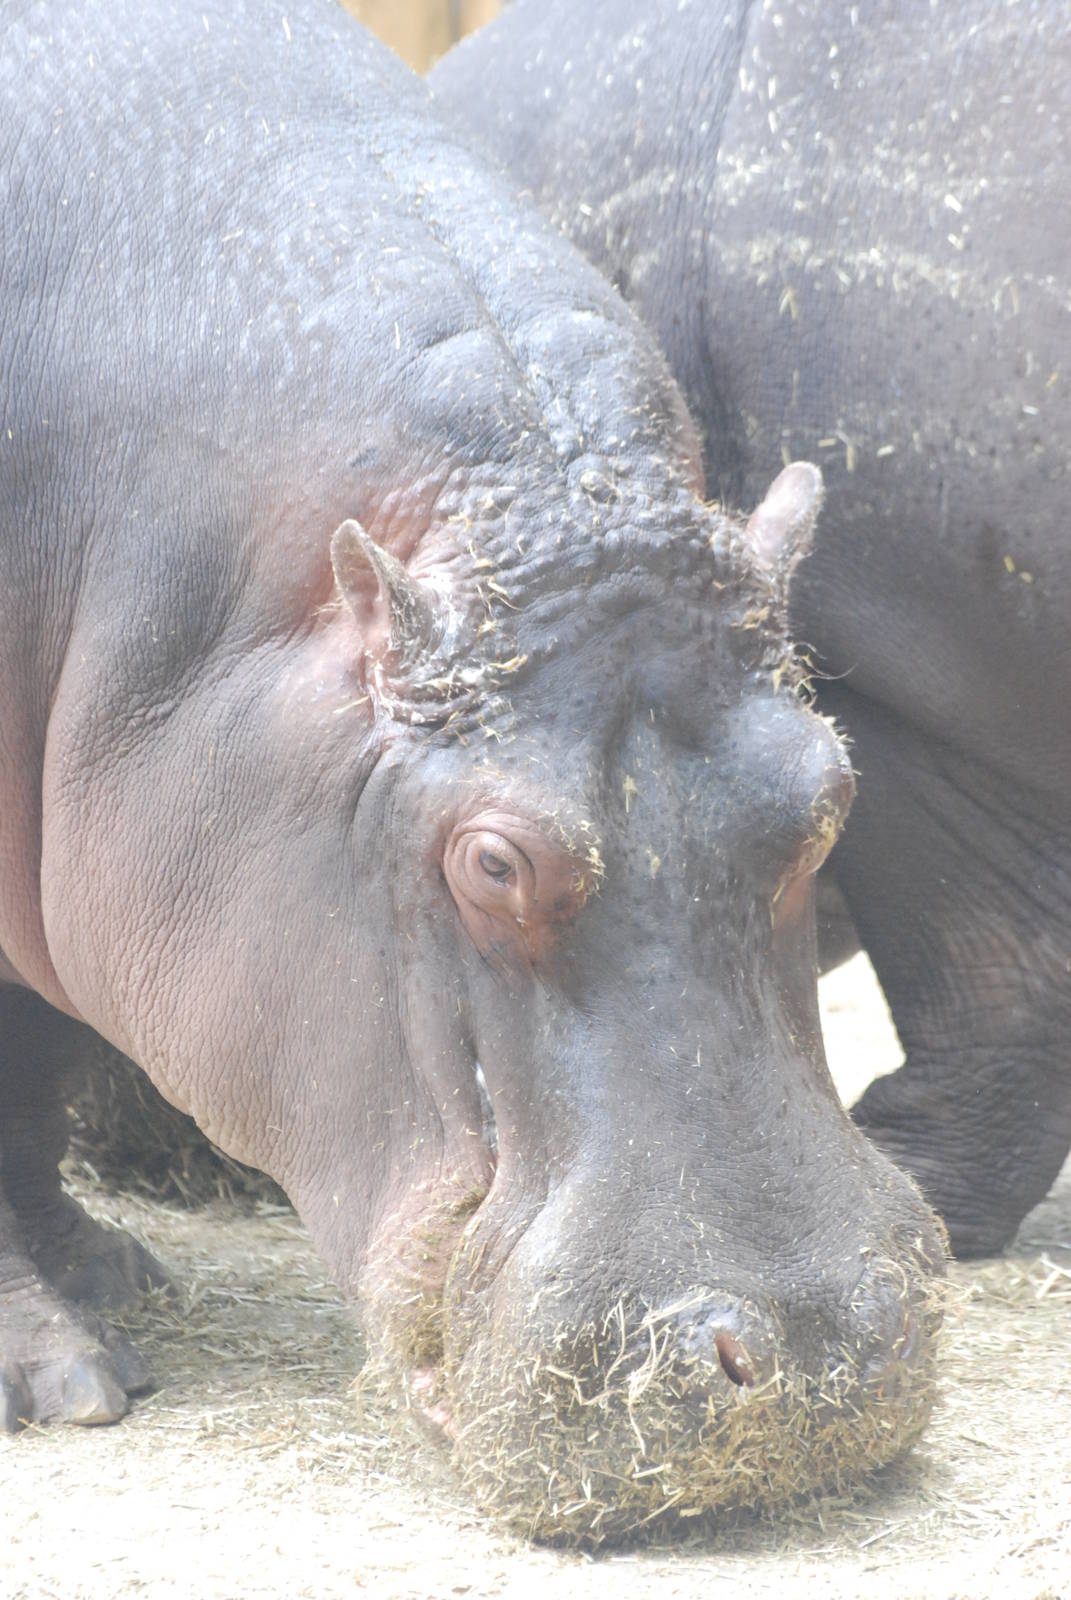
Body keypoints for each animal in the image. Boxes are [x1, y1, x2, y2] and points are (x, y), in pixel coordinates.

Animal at [0, 0, 945, 1541]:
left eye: (829, 794)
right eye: (492, 861)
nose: (809, 1355)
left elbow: (28, 1069)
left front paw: (102, 1286)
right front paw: (65, 1376)